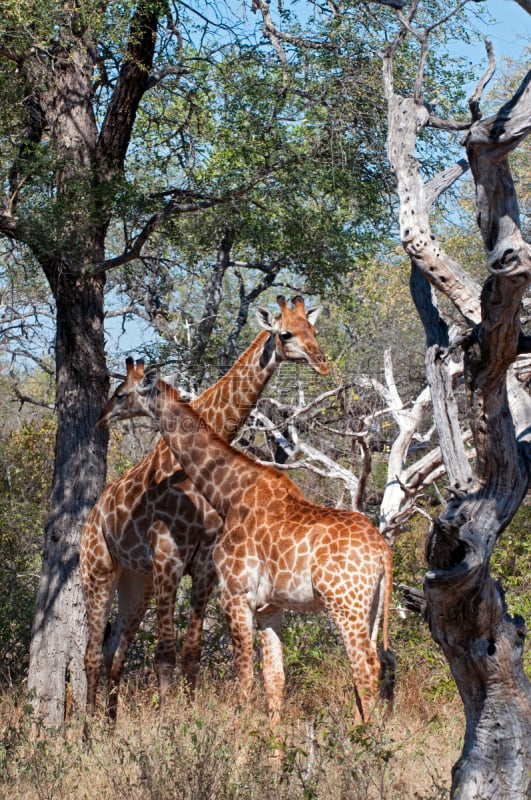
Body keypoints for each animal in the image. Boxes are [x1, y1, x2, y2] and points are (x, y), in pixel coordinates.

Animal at [80, 296, 328, 720]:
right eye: (285, 333)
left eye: (312, 330)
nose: (321, 362)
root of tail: (90, 519)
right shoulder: (168, 556)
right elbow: (165, 654)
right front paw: (168, 723)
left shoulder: (205, 564)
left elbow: (191, 653)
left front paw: (189, 716)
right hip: (97, 573)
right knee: (90, 653)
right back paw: (79, 728)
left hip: (135, 581)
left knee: (114, 651)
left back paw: (107, 724)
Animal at [94, 356, 394, 724]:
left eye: (121, 393)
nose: (101, 418)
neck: (229, 493)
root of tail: (383, 552)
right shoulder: (269, 606)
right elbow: (274, 680)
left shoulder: (235, 595)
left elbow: (244, 678)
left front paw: (239, 735)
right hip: (371, 608)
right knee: (374, 666)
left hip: (345, 604)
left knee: (365, 666)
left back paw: (362, 736)